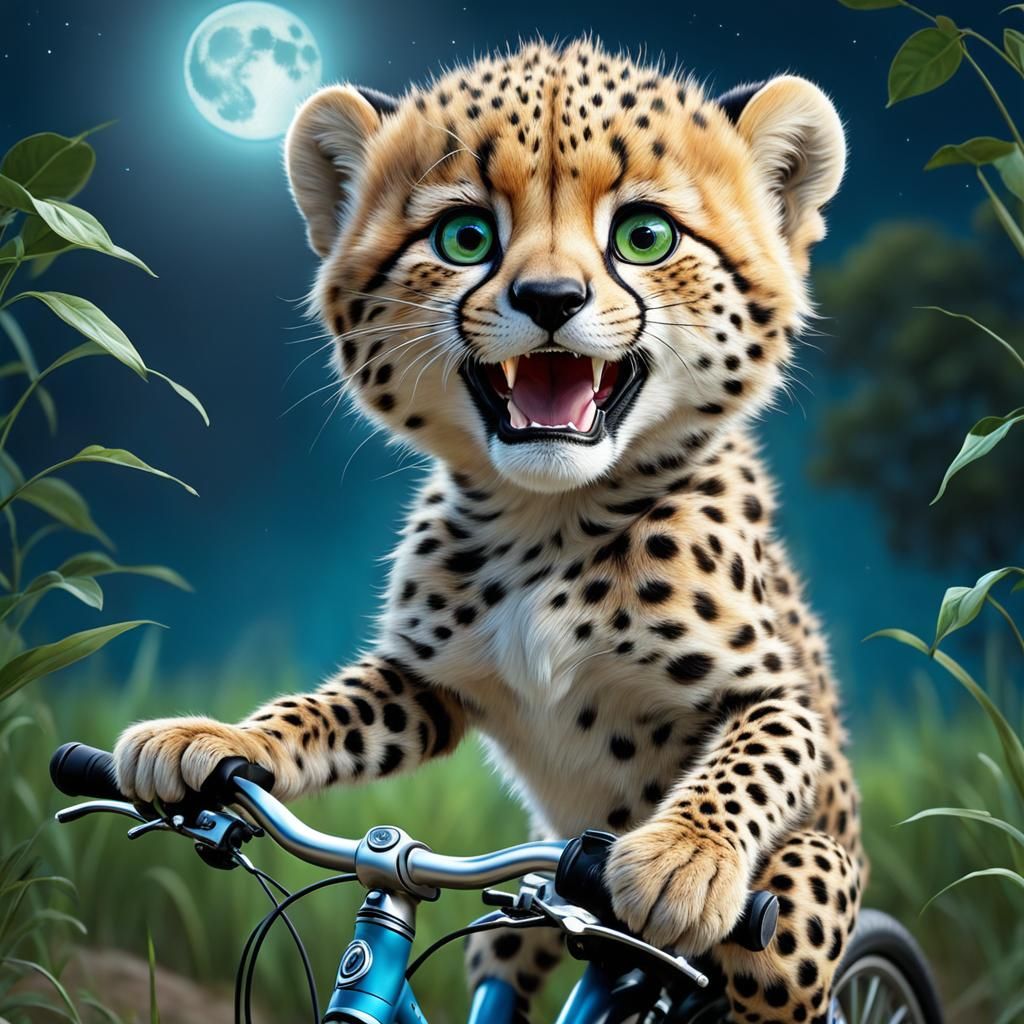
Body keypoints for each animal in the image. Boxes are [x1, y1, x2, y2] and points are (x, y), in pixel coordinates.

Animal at [113, 37, 865, 1024]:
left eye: (645, 236)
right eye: (465, 237)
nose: (550, 296)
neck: (552, 519)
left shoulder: (779, 693)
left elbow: (756, 755)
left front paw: (683, 856)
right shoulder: (426, 684)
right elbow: (317, 712)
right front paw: (218, 743)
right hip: (520, 911)